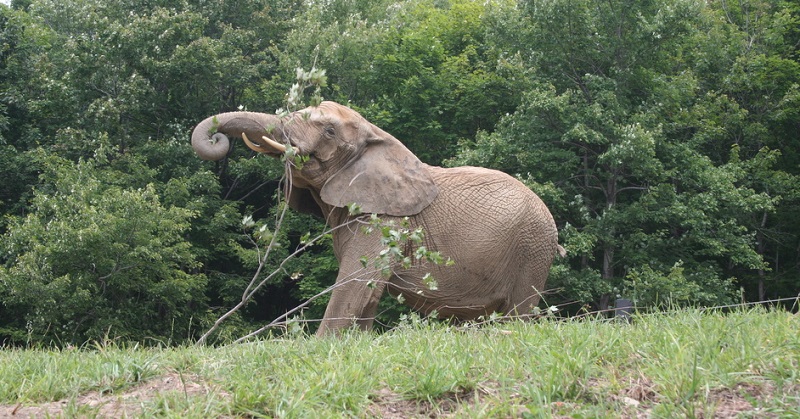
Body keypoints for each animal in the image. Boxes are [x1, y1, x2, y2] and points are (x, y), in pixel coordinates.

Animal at [191, 101, 562, 335]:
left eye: (329, 131)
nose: (217, 137)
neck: (376, 135)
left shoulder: (384, 222)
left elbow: (353, 283)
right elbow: (366, 293)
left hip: (532, 247)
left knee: (518, 311)